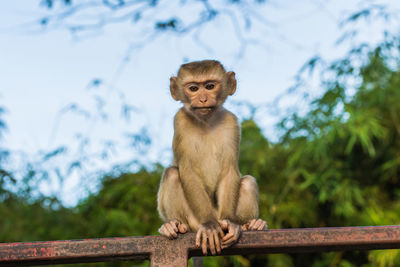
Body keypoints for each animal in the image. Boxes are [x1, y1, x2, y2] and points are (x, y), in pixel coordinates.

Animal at [156, 59, 266, 256]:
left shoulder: (231, 122)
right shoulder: (180, 121)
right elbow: (188, 171)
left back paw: (252, 224)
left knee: (247, 182)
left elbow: (230, 170)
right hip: (193, 221)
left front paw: (231, 223)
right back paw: (174, 226)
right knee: (172, 174)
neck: (206, 122)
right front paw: (209, 225)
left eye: (210, 86)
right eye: (193, 88)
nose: (203, 99)